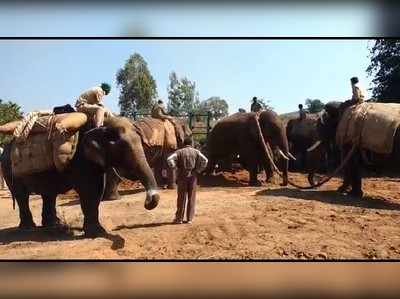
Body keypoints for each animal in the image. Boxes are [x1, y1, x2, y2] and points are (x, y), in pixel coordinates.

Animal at [1, 117, 161, 239]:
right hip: (9, 170)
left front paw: (95, 231)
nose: (147, 202)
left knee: (49, 194)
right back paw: (29, 228)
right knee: (22, 196)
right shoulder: (80, 160)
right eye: (122, 148)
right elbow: (89, 191)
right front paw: (96, 233)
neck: (100, 125)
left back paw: (54, 225)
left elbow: (97, 190)